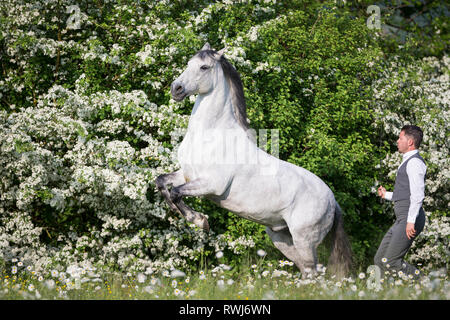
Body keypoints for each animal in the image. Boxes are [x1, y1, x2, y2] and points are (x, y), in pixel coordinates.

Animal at [156, 43, 354, 278]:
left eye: (204, 67)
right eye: (188, 63)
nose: (176, 89)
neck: (211, 135)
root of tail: (333, 202)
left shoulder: (210, 185)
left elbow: (176, 193)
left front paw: (200, 221)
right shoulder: (186, 175)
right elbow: (162, 184)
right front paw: (188, 216)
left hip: (305, 241)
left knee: (314, 272)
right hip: (282, 239)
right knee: (307, 271)